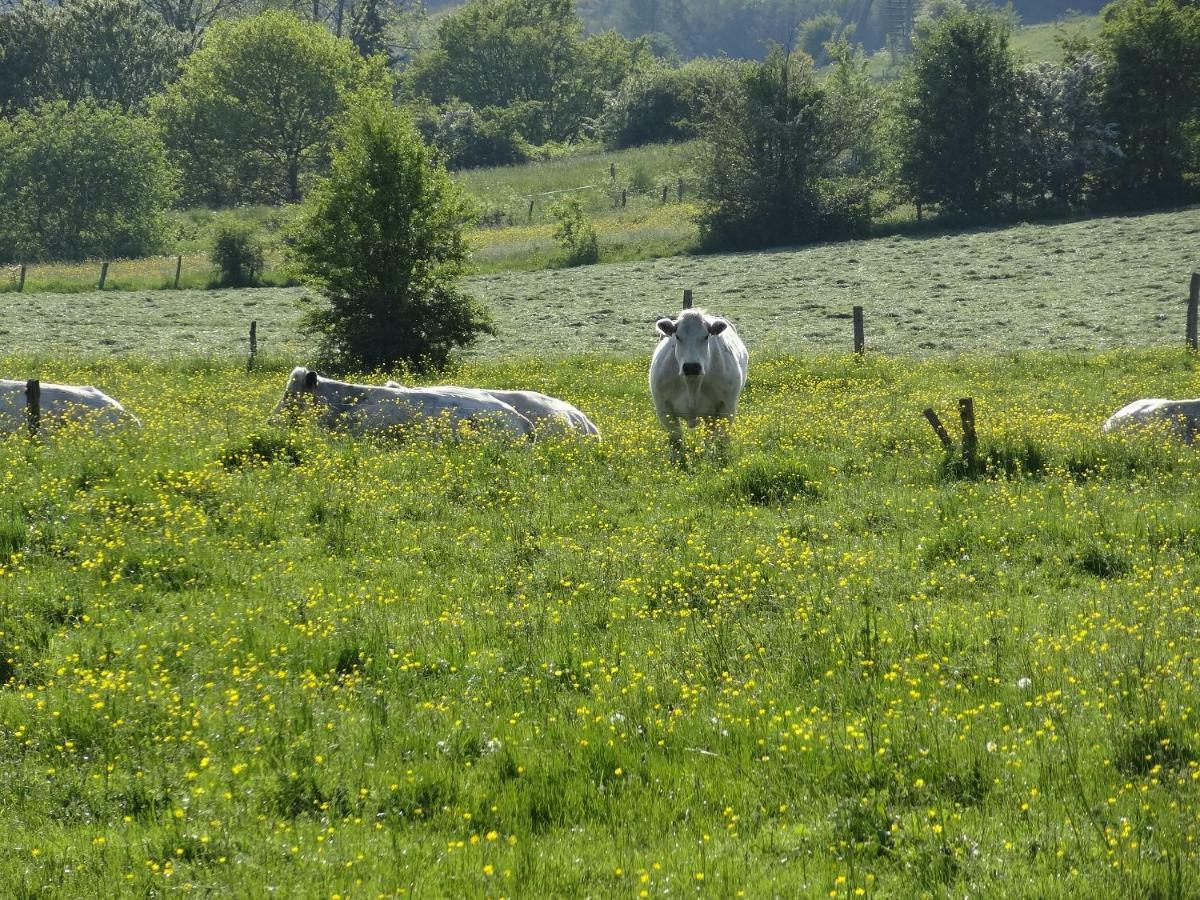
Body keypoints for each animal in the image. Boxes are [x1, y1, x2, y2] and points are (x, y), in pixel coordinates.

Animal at [652, 309, 744, 465]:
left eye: (706, 336)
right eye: (677, 336)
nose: (691, 367)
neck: (692, 385)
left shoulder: (727, 408)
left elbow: (721, 439)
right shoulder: (664, 409)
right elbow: (675, 439)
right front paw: (677, 462)